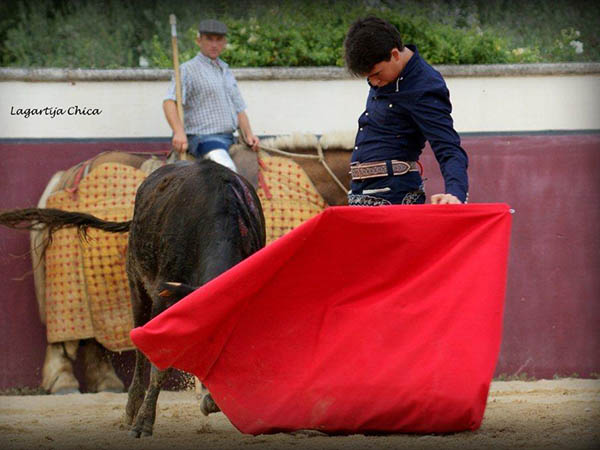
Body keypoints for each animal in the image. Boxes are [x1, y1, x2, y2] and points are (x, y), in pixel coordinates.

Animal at [0, 161, 268, 436]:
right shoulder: (163, 299)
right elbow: (159, 365)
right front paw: (143, 423)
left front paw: (211, 401)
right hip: (137, 287)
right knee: (140, 347)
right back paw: (130, 409)